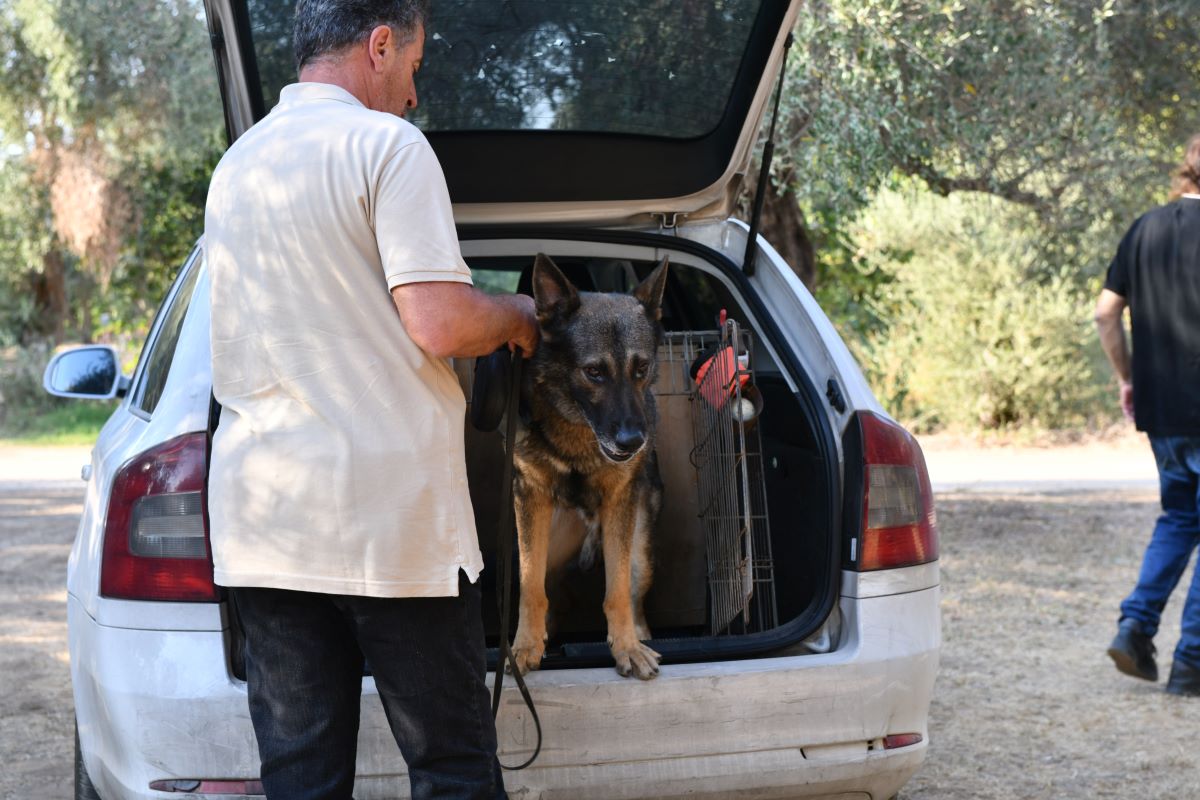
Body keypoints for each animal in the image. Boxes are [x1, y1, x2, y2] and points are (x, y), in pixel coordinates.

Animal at [511, 255, 672, 681]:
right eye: (594, 372)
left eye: (641, 368)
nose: (633, 442)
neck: (578, 436)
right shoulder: (530, 500)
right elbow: (530, 588)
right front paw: (525, 646)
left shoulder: (620, 506)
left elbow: (616, 592)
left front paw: (627, 648)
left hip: (641, 550)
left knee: (632, 592)